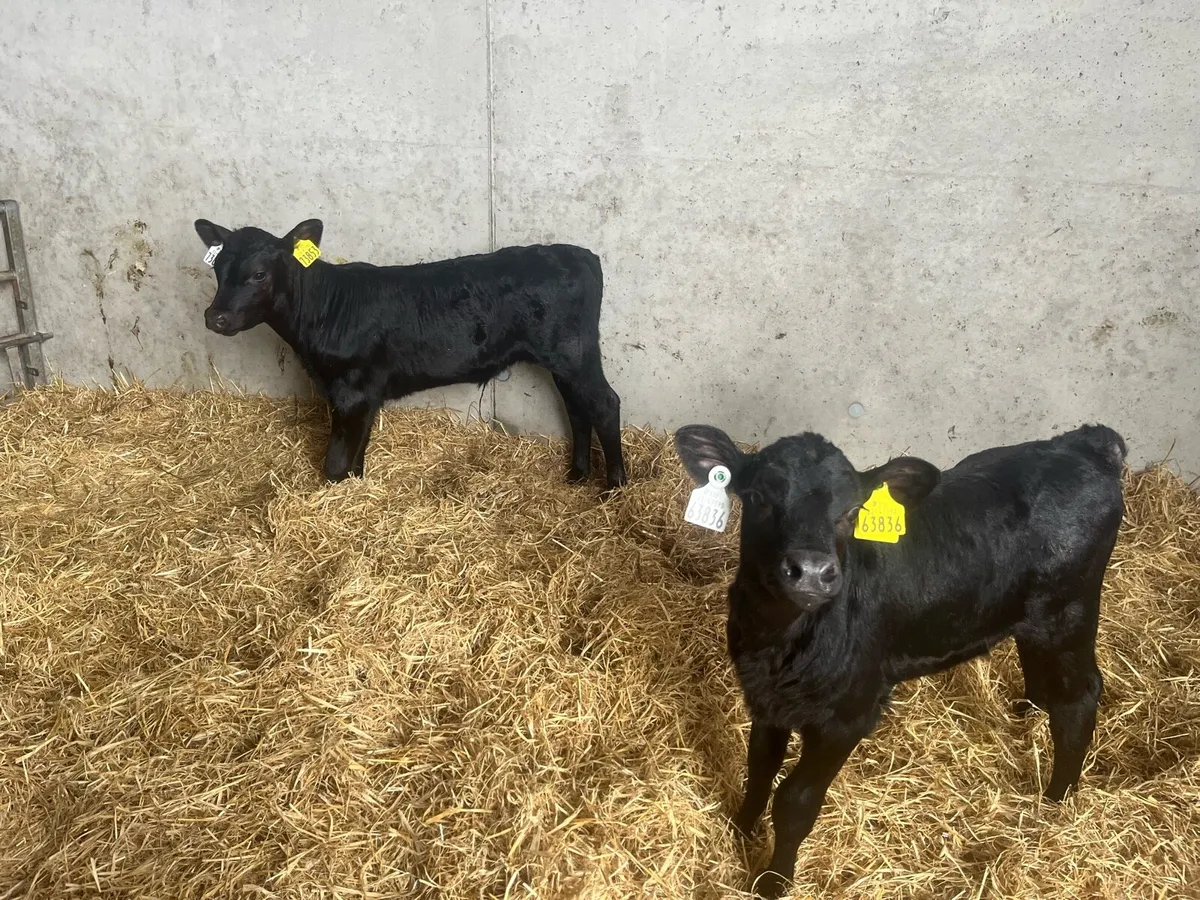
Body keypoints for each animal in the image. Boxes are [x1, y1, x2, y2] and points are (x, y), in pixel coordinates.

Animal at [193, 218, 627, 490]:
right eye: (218, 270)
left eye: (259, 274)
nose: (215, 317)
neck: (324, 309)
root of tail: (583, 255)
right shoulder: (366, 393)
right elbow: (357, 453)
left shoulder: (350, 391)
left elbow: (335, 462)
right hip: (564, 358)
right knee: (577, 408)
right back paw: (577, 475)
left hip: (574, 352)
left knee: (604, 403)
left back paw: (614, 487)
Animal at [673, 423, 1126, 897]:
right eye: (759, 496)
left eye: (852, 511)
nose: (812, 572)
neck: (780, 643)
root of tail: (1084, 445)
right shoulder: (766, 700)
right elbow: (760, 766)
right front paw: (740, 830)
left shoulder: (848, 717)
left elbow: (795, 802)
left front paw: (773, 881)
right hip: (1032, 618)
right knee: (1039, 670)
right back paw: (1026, 716)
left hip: (1069, 614)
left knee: (1079, 697)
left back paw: (1056, 802)